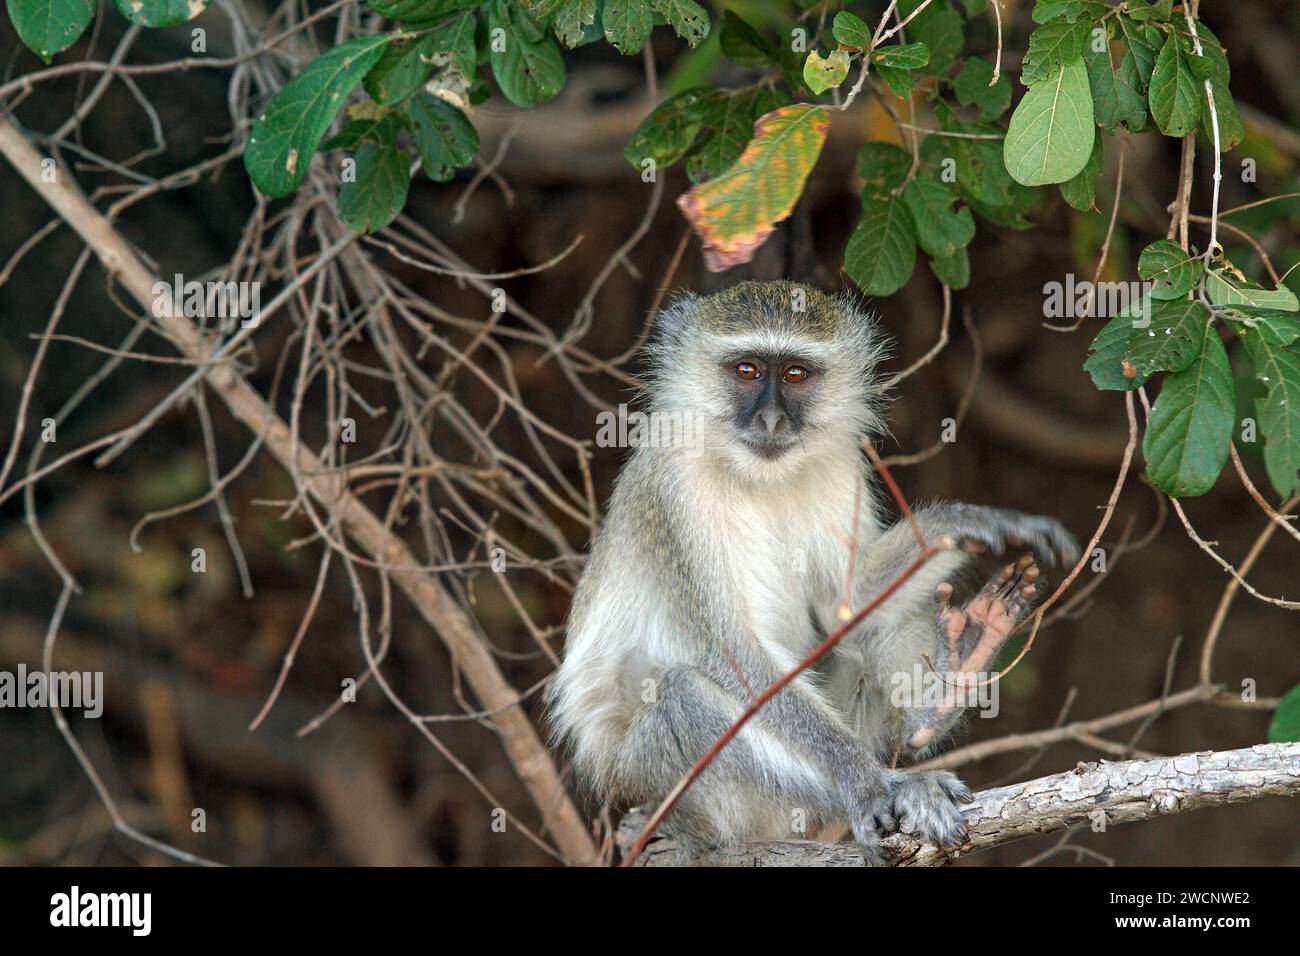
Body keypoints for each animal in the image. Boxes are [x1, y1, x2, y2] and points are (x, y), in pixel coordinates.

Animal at [548, 280, 1076, 863]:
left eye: (796, 374)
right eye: (747, 370)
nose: (771, 421)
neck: (756, 476)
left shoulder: (842, 465)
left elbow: (850, 602)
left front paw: (969, 523)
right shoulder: (671, 489)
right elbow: (733, 654)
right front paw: (872, 785)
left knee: (872, 630)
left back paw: (947, 689)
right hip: (656, 778)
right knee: (683, 698)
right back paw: (881, 786)